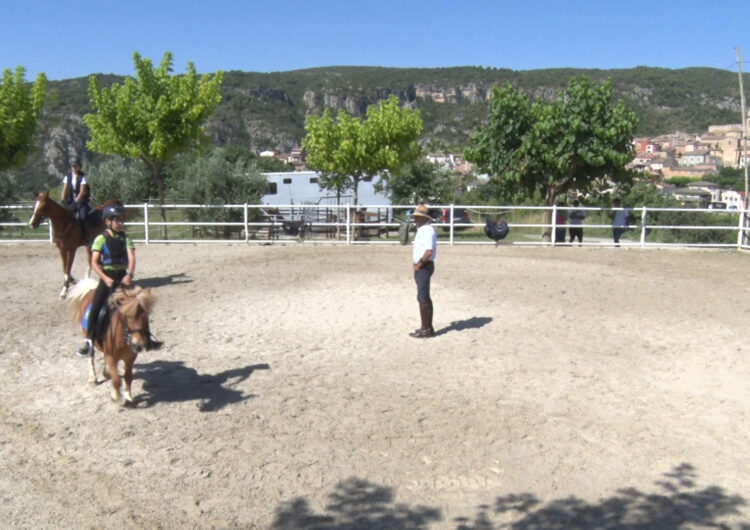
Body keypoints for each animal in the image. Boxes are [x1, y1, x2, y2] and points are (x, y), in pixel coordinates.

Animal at [68, 276, 155, 404]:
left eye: (146, 316)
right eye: (127, 316)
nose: (138, 344)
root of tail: (90, 290)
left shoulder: (130, 357)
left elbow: (128, 376)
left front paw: (128, 396)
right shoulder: (111, 356)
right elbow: (116, 380)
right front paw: (116, 397)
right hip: (87, 335)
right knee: (91, 355)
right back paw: (93, 378)